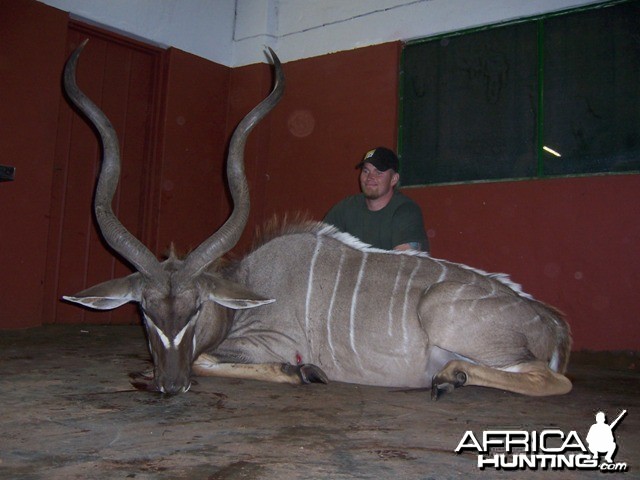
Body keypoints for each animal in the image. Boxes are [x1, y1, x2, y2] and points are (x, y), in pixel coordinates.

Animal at [63, 41, 576, 400]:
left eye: (195, 309)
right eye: (144, 312)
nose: (171, 385)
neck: (246, 292)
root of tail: (553, 324)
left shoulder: (269, 341)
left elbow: (207, 359)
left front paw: (303, 370)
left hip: (456, 322)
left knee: (552, 380)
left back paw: (451, 375)